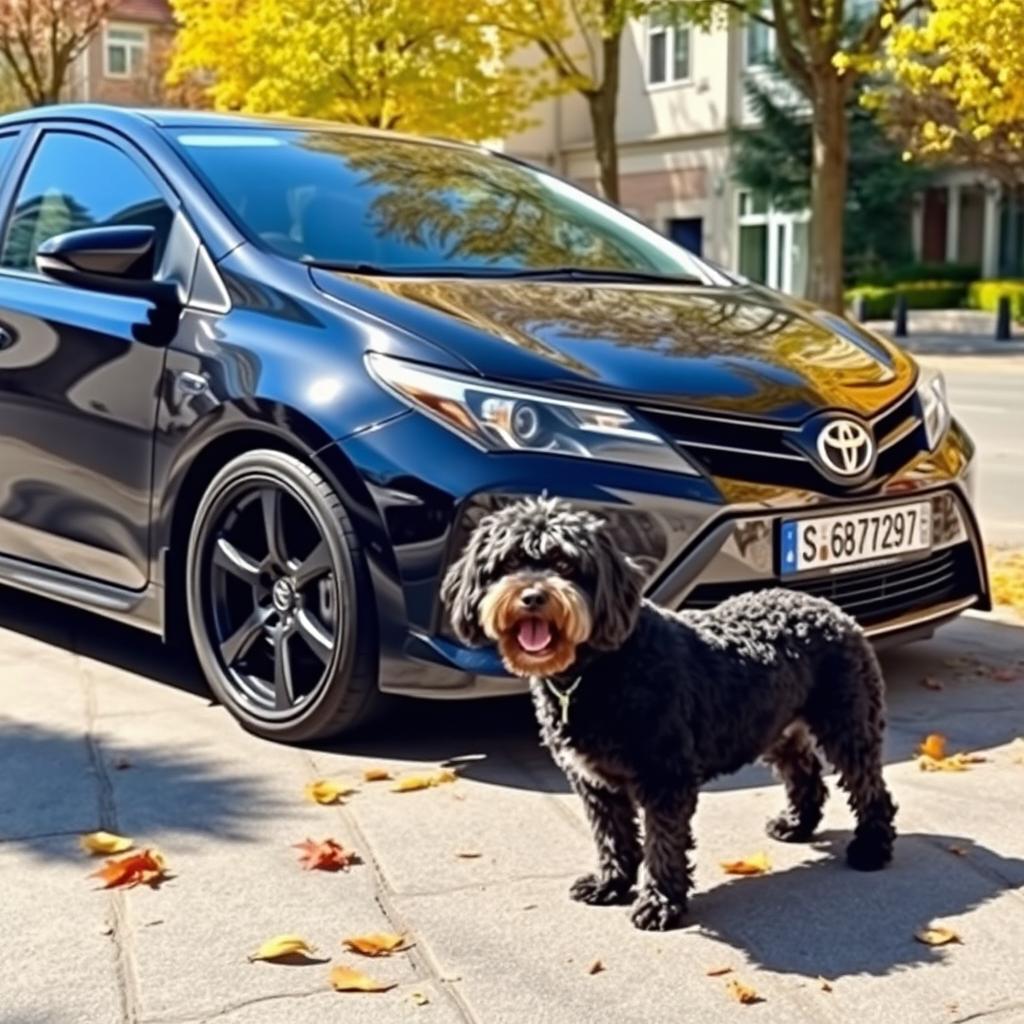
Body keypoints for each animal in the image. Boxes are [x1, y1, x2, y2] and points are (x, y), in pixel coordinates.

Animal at [440, 499, 897, 933]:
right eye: (508, 564)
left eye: (566, 564)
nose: (533, 596)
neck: (598, 668)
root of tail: (830, 608)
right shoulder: (595, 782)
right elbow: (612, 836)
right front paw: (610, 883)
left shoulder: (664, 778)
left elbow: (662, 844)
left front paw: (659, 904)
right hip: (776, 726)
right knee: (805, 775)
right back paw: (797, 825)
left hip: (848, 721)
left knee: (871, 789)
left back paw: (871, 848)